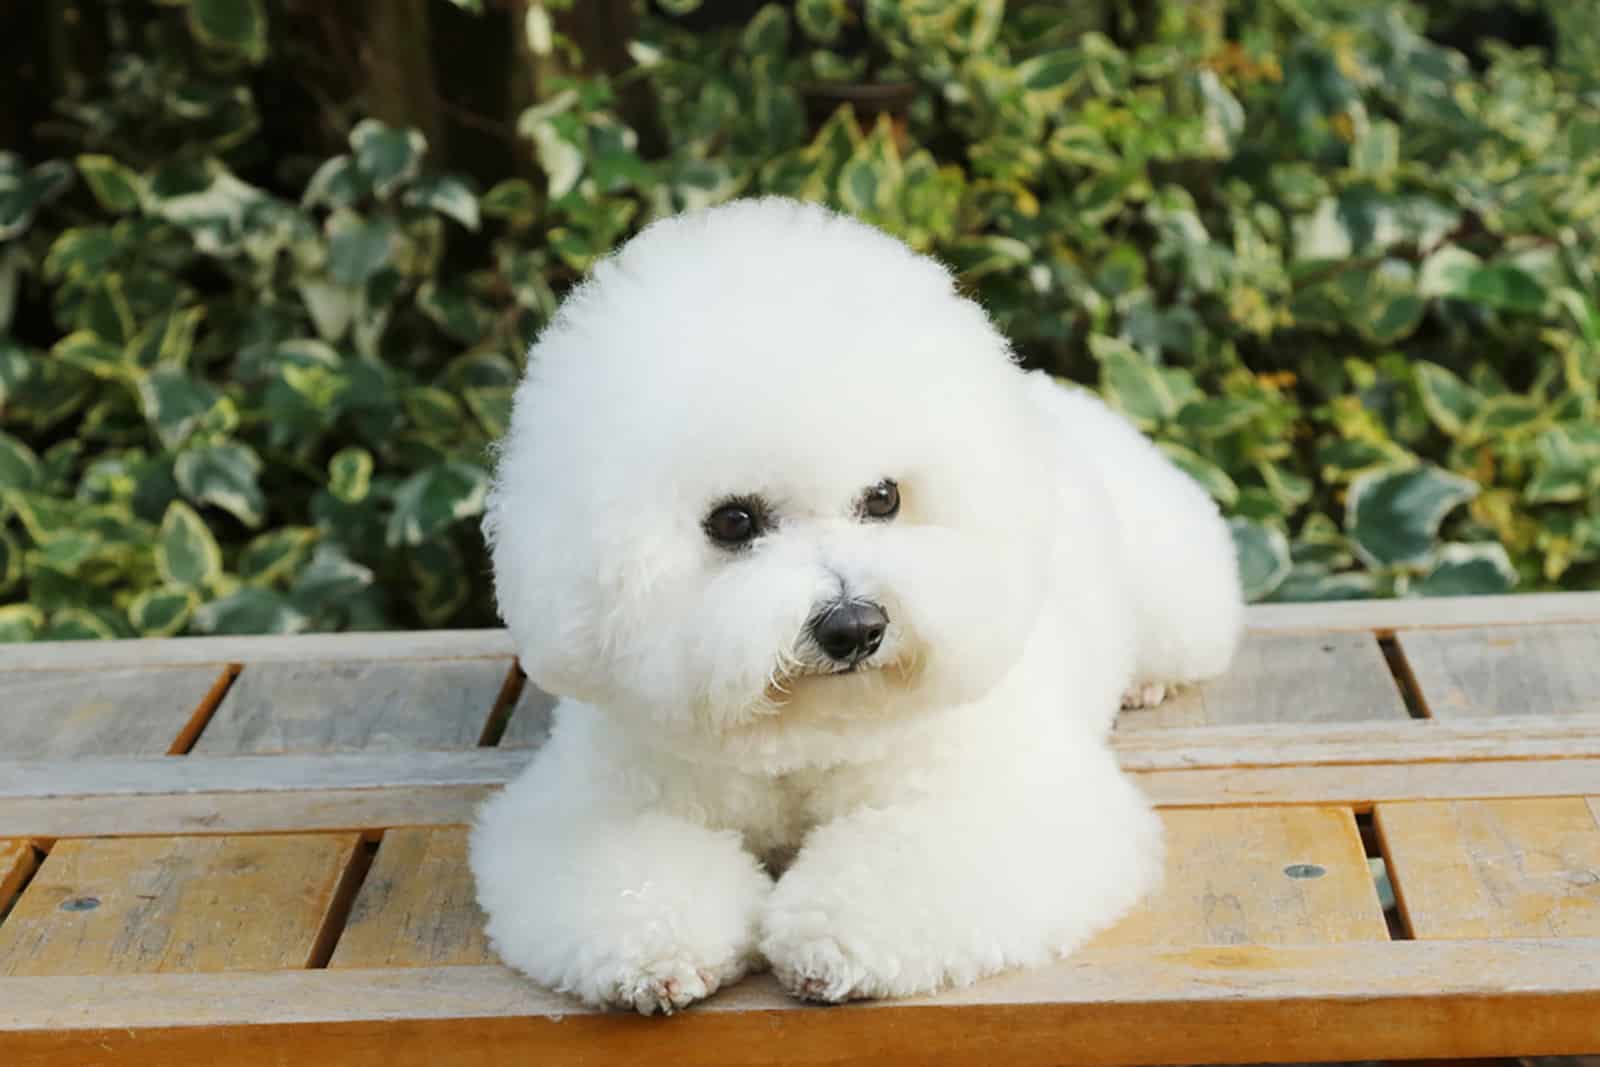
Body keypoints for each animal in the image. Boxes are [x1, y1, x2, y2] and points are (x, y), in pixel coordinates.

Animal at [467, 195, 1241, 1017]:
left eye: (884, 497)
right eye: (734, 521)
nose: (856, 627)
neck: (804, 737)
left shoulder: (1000, 790)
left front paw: (829, 944)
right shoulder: (598, 798)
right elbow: (632, 875)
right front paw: (659, 951)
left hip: (1174, 588)